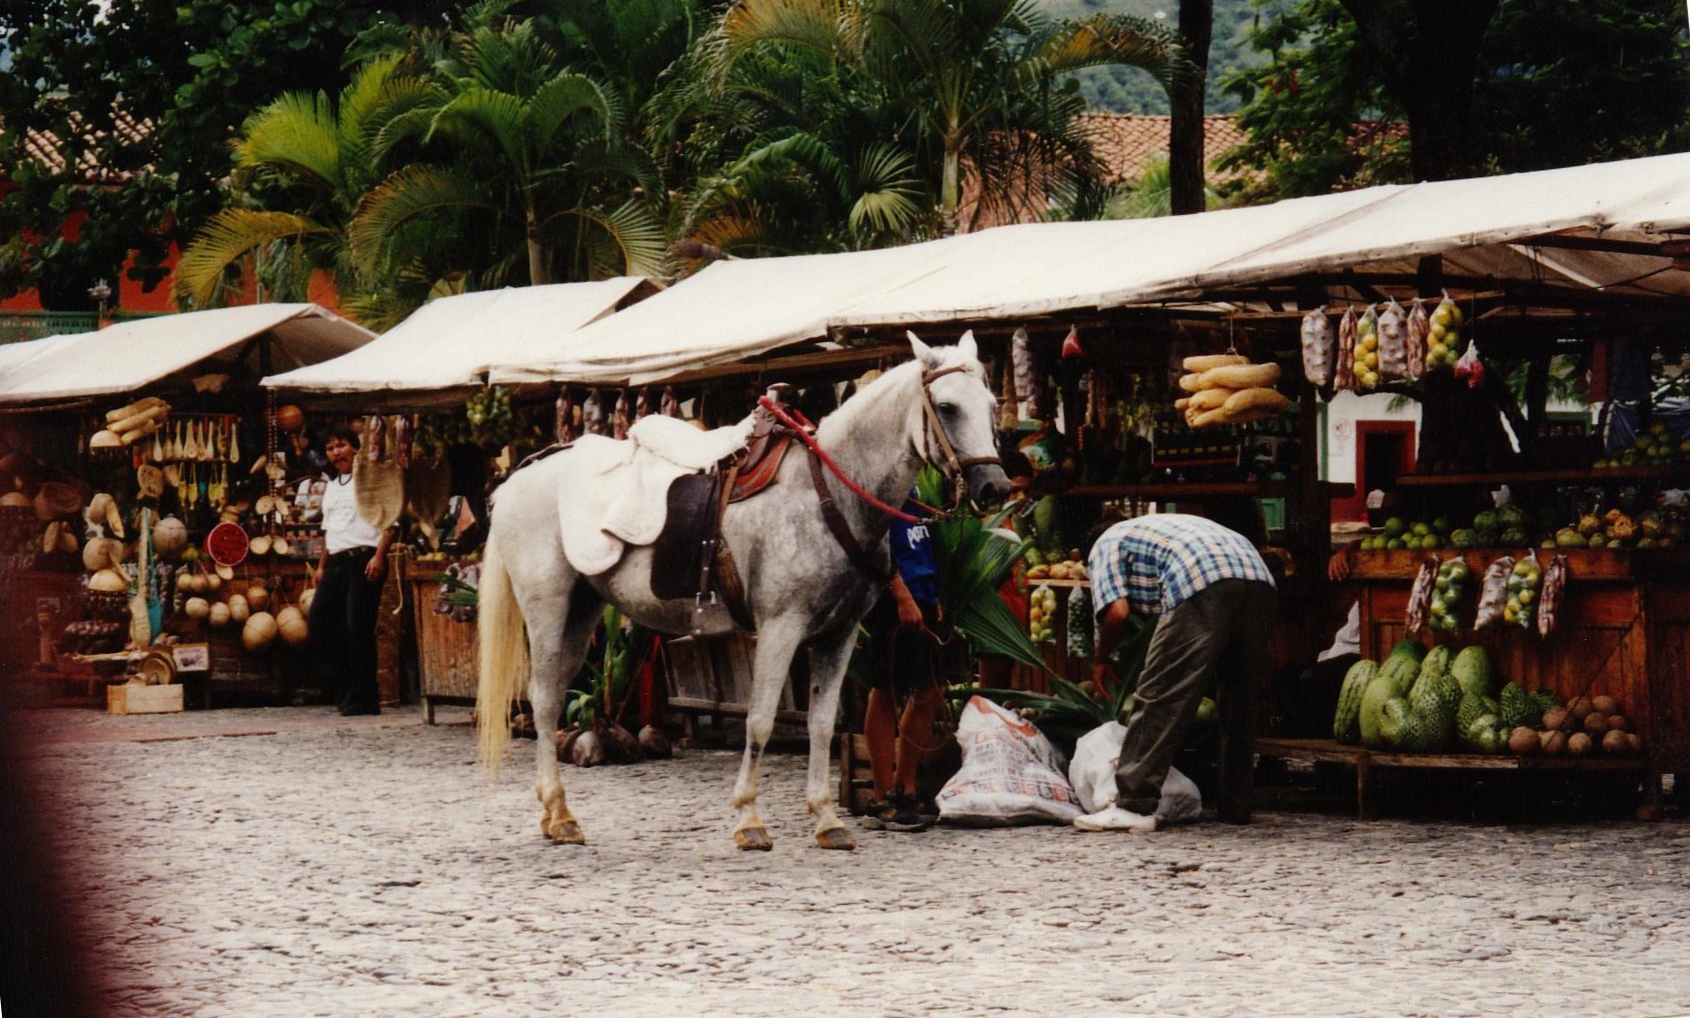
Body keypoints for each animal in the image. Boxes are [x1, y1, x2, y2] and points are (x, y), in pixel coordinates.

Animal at [476, 333, 1000, 848]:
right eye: (948, 407)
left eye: (992, 404)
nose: (994, 487)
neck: (826, 492)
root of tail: (521, 475)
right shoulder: (781, 628)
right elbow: (761, 720)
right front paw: (749, 818)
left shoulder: (840, 634)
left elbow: (822, 724)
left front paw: (827, 818)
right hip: (546, 609)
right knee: (544, 699)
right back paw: (560, 813)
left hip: (582, 610)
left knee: (554, 694)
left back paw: (554, 814)